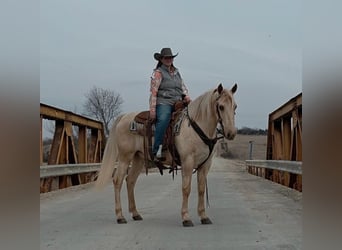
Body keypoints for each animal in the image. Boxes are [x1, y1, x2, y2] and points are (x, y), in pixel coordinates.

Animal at [95, 83, 236, 227]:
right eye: (221, 106)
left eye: (235, 106)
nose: (231, 133)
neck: (195, 127)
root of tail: (124, 117)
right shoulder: (187, 162)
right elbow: (186, 188)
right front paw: (186, 218)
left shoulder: (205, 164)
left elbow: (201, 189)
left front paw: (203, 216)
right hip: (125, 157)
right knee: (118, 181)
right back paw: (120, 216)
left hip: (138, 158)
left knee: (130, 181)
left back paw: (135, 214)